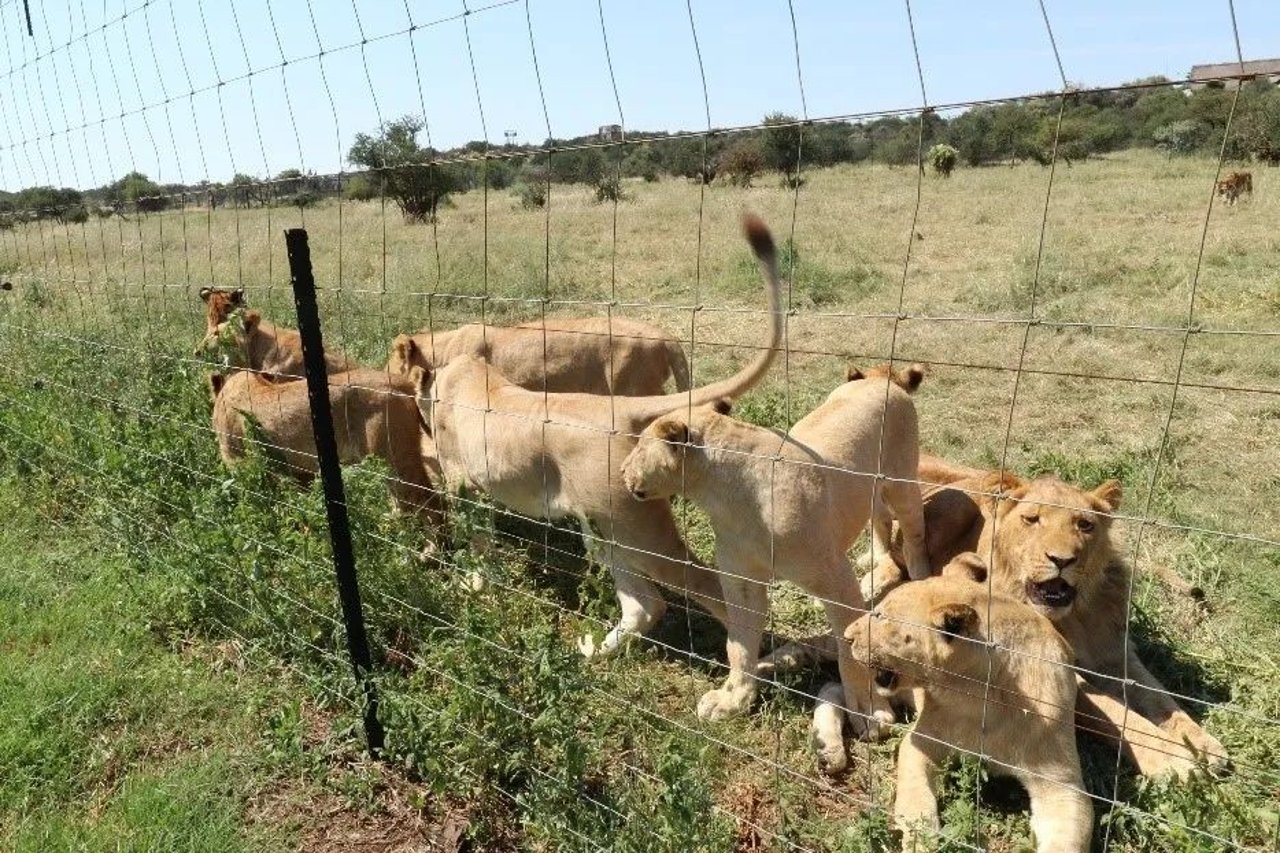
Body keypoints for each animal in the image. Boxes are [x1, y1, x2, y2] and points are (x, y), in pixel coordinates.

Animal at [209, 368, 445, 535]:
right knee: (406, 504)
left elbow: (257, 501)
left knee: (428, 501)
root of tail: (404, 383)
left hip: (392, 460)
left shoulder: (238, 463)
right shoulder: (300, 472)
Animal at [409, 208, 783, 653]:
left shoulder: (462, 483)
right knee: (646, 604)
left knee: (708, 589)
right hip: (607, 527)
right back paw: (595, 652)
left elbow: (478, 539)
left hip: (639, 528)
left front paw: (475, 585)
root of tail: (621, 409)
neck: (454, 374)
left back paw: (746, 665)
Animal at [614, 361, 926, 732]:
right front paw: (733, 699)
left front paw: (868, 710)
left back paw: (922, 579)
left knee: (913, 530)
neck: (724, 498)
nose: (621, 470)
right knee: (878, 516)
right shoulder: (741, 581)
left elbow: (851, 651)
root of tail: (880, 380)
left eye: (638, 447)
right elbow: (740, 644)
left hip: (902, 484)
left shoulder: (835, 580)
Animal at [844, 550, 1095, 850]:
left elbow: (1067, 839)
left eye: (881, 616)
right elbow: (916, 797)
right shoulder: (920, 742)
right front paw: (921, 840)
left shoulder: (1062, 783)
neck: (983, 698)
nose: (846, 636)